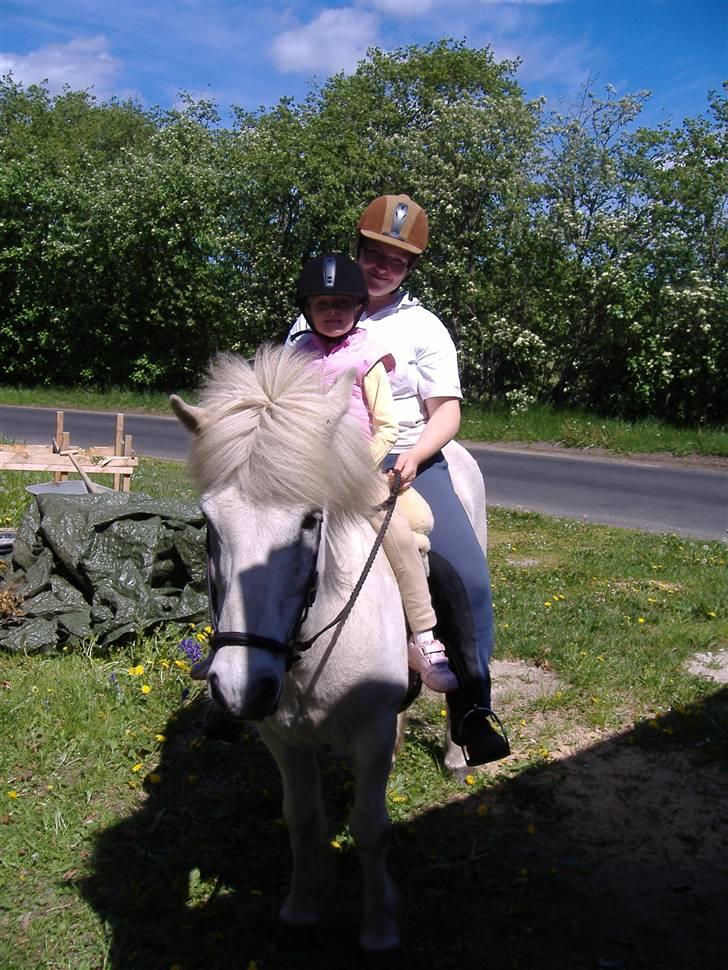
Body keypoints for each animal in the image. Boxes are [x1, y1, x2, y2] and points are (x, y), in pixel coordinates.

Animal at [171, 344, 490, 948]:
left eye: (310, 520)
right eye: (207, 521)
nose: (242, 685)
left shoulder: (368, 732)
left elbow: (370, 827)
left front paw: (379, 926)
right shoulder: (282, 738)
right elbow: (302, 819)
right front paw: (301, 907)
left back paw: (458, 753)